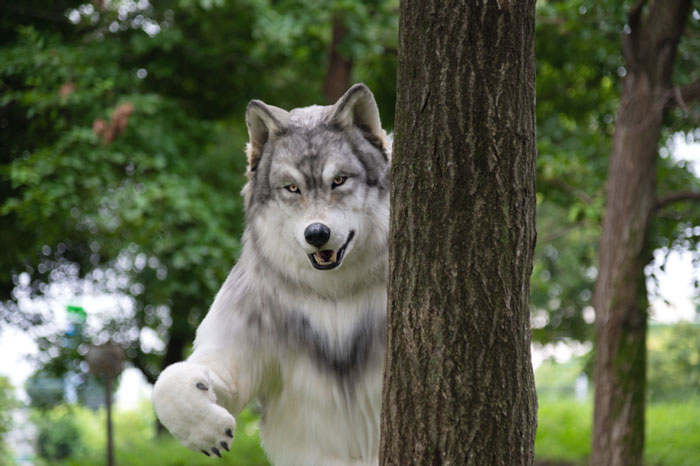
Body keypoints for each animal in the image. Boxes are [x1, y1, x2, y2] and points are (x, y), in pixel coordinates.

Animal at [152, 84, 391, 466]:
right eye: (292, 188)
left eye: (338, 181)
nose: (317, 234)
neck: (333, 295)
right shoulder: (230, 367)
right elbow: (168, 379)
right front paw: (204, 431)